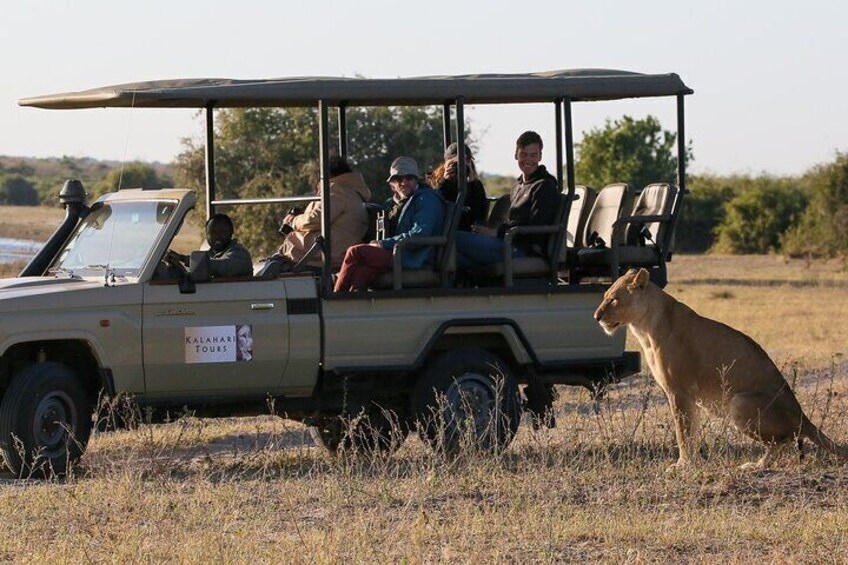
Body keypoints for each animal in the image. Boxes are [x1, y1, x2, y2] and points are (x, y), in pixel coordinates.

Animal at [593, 268, 848, 469]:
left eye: (614, 300)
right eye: (604, 297)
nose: (596, 316)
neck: (644, 327)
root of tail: (803, 415)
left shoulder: (679, 390)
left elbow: (682, 431)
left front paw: (682, 465)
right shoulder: (688, 396)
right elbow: (691, 431)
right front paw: (691, 462)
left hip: (740, 402)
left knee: (783, 442)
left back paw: (756, 465)